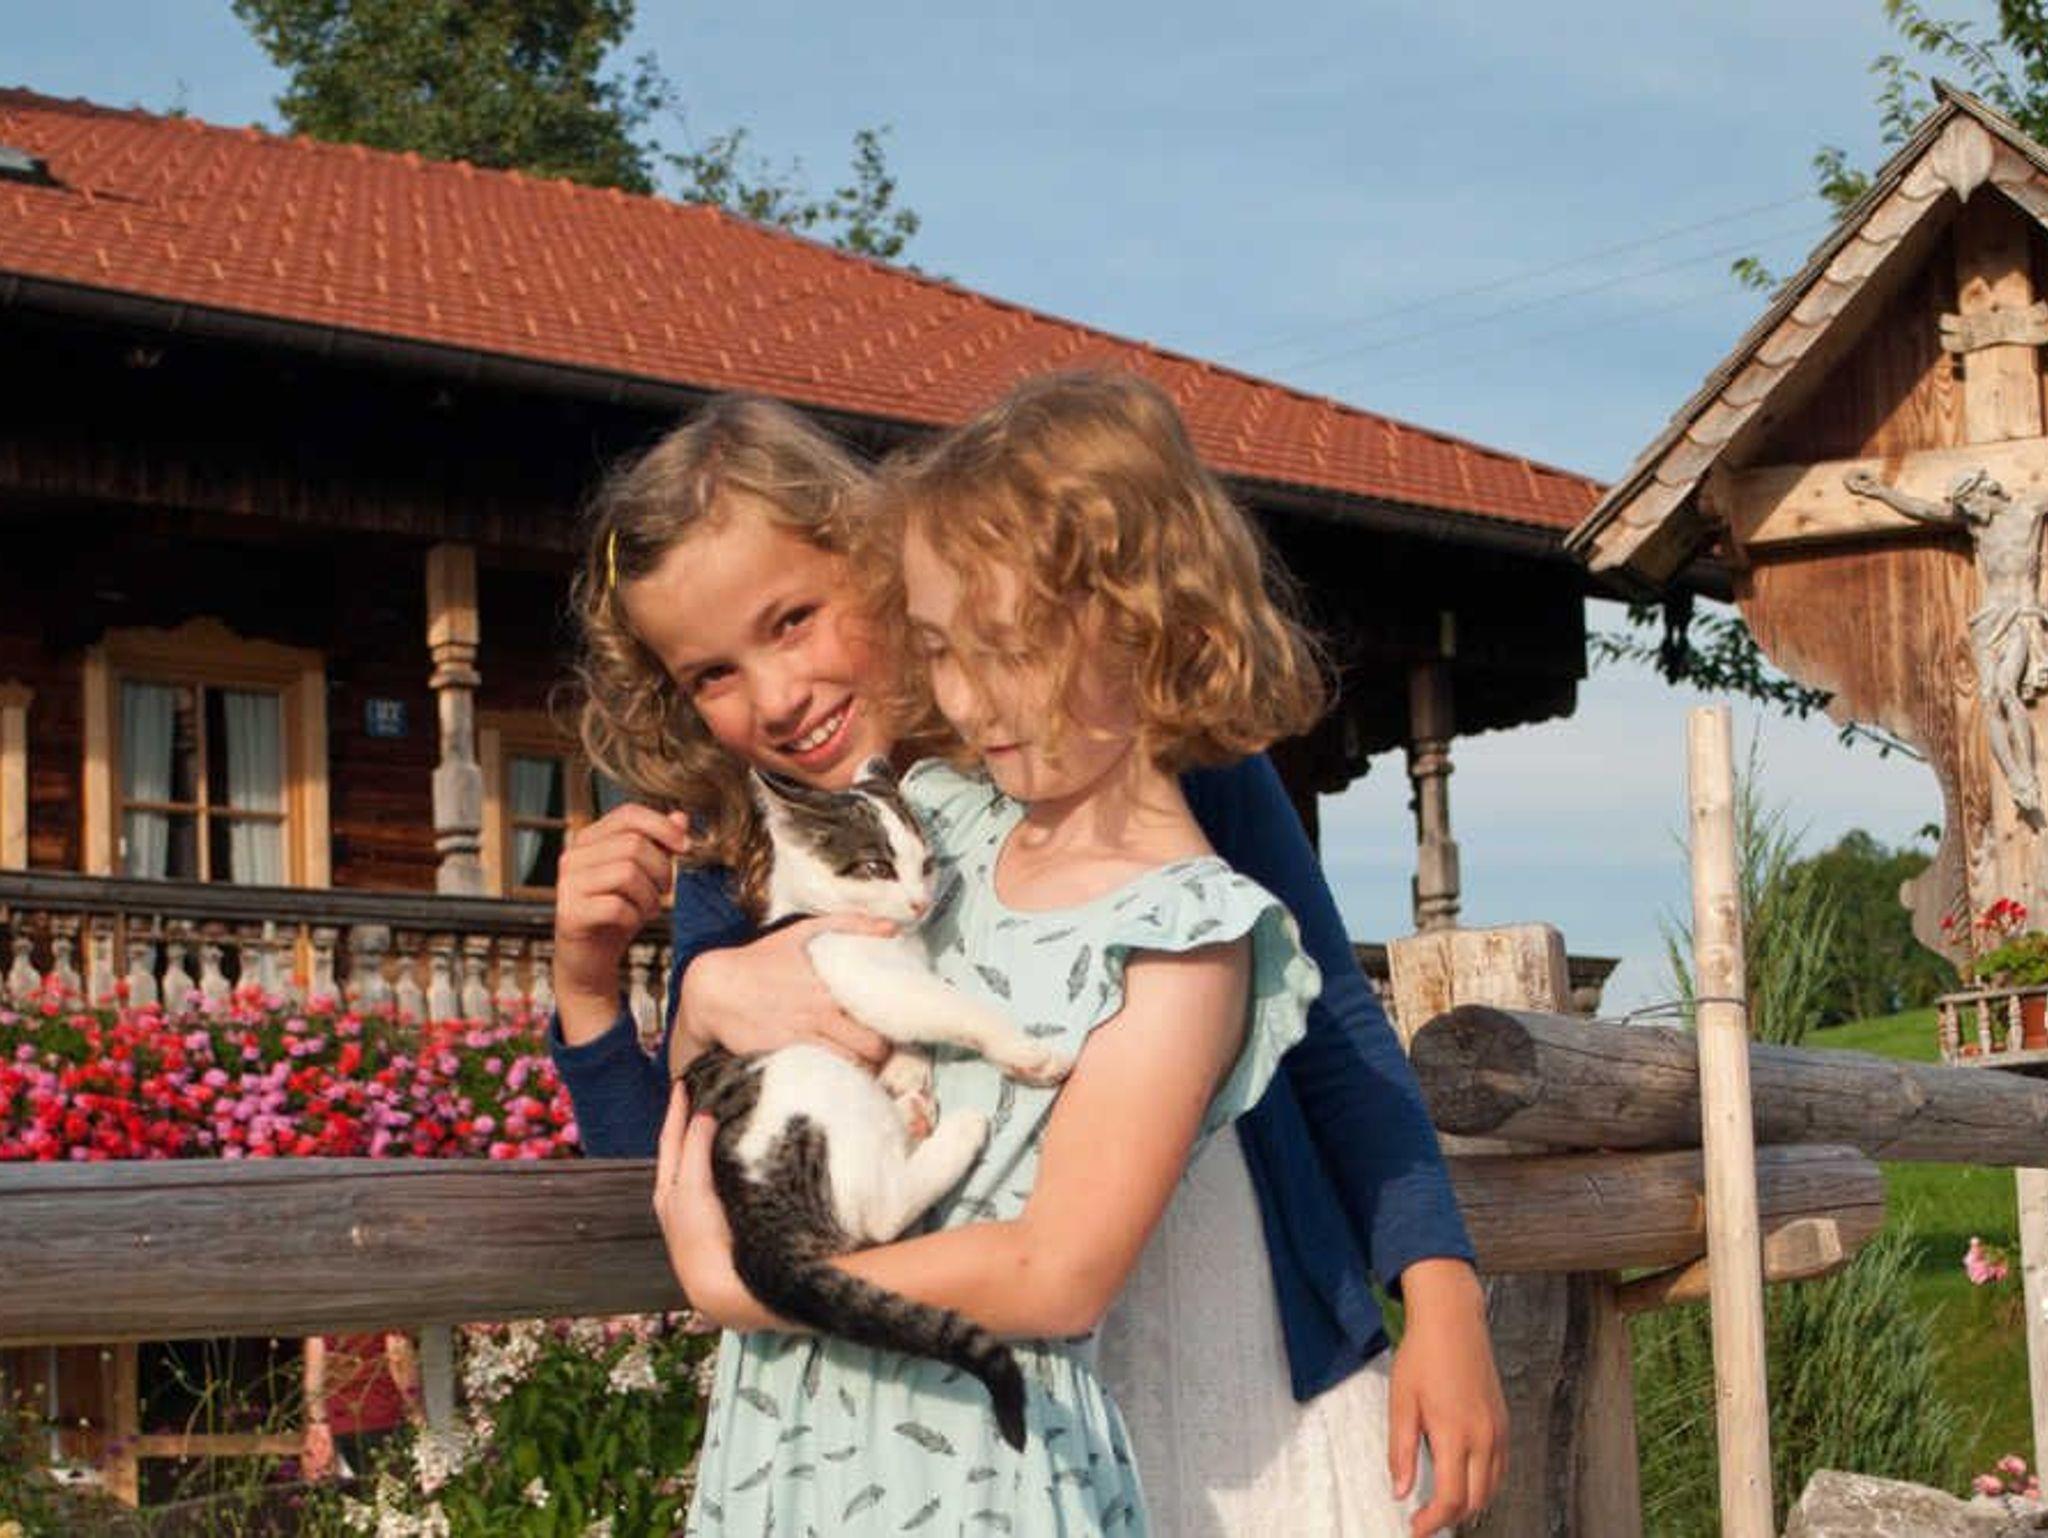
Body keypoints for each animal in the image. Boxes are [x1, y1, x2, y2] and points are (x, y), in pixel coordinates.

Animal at [671, 756, 1070, 1452]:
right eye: (876, 866)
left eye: (926, 863)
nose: (919, 901)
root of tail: (754, 1231)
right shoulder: (858, 970)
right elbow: (943, 1006)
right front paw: (1022, 1050)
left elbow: (912, 1035)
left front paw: (908, 1071)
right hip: (812, 1078)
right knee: (879, 1217)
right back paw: (958, 1131)